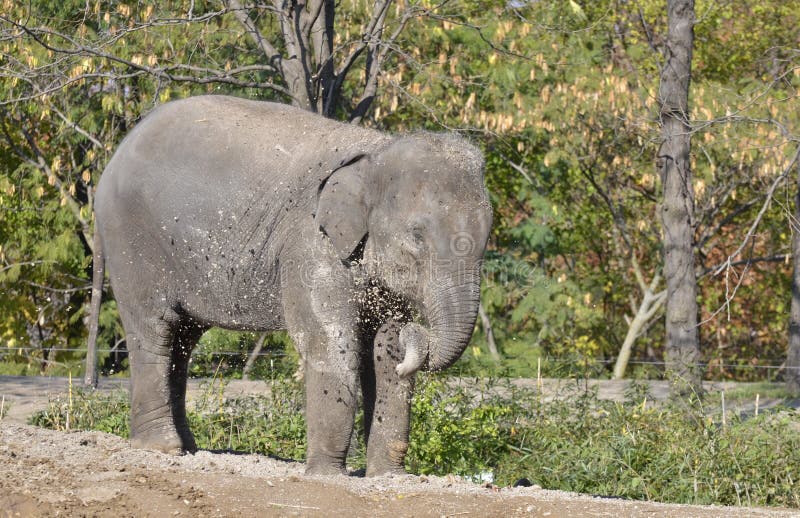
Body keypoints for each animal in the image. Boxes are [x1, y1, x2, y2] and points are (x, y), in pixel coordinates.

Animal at [86, 95, 492, 476]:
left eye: (487, 237)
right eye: (417, 236)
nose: (418, 331)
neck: (377, 152)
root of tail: (114, 157)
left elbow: (384, 350)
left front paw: (388, 477)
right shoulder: (309, 241)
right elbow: (328, 342)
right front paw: (327, 475)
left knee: (182, 340)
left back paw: (190, 449)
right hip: (132, 242)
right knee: (156, 330)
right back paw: (162, 449)